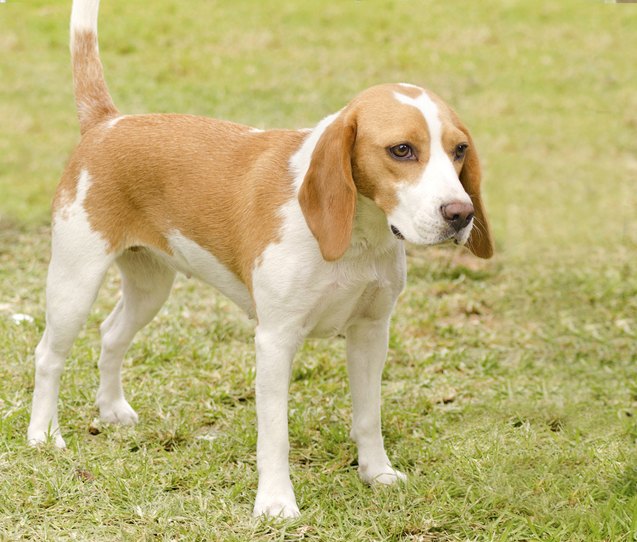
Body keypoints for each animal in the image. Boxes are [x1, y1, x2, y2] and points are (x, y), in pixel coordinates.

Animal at [27, 0, 494, 520]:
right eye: (402, 150)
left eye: (459, 150)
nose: (461, 214)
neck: (358, 237)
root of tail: (108, 122)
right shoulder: (276, 340)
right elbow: (275, 434)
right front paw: (275, 502)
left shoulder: (372, 332)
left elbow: (368, 416)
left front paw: (377, 474)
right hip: (74, 283)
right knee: (48, 355)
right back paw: (43, 435)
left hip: (150, 288)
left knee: (111, 334)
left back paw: (111, 409)